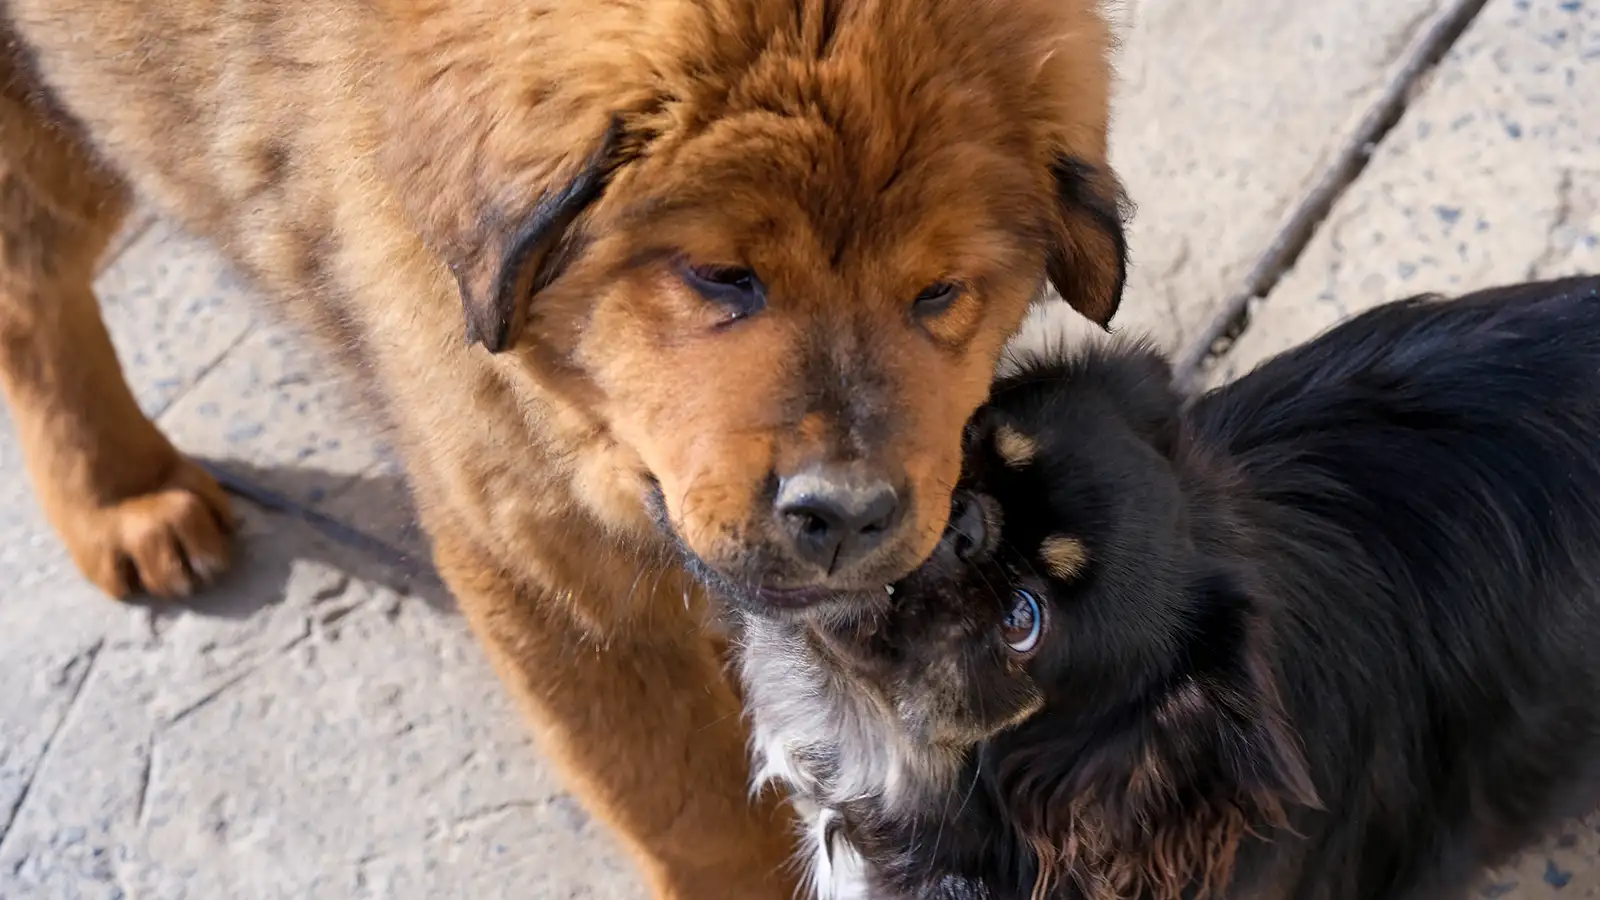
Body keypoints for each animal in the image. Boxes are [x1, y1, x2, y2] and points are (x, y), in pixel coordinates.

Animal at [0, 0, 1126, 890]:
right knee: (31, 292)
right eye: (722, 276)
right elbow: (695, 813)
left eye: (938, 294)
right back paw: (120, 495)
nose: (844, 515)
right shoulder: (545, 558)